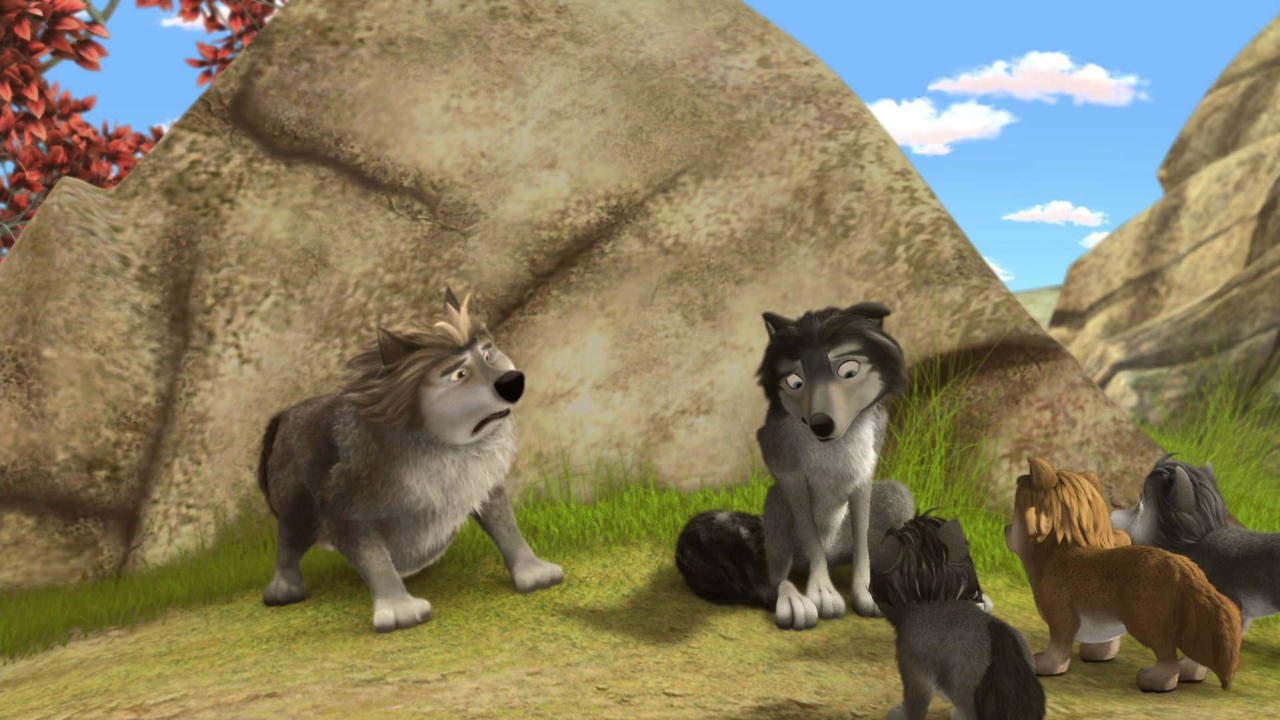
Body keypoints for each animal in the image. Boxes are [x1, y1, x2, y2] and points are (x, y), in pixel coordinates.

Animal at [257, 288, 563, 633]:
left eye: (488, 356)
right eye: (459, 374)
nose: (513, 380)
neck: (442, 449)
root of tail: (283, 415)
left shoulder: (481, 486)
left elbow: (507, 527)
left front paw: (534, 572)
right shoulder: (345, 509)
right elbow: (375, 559)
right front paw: (398, 608)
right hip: (297, 507)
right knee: (288, 543)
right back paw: (283, 590)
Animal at [676, 302, 929, 629]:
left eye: (849, 371)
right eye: (795, 382)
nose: (821, 422)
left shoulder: (868, 461)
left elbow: (862, 534)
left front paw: (867, 590)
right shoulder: (783, 459)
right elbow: (801, 512)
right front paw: (821, 592)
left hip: (889, 504)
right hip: (778, 517)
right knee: (776, 578)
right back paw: (793, 600)